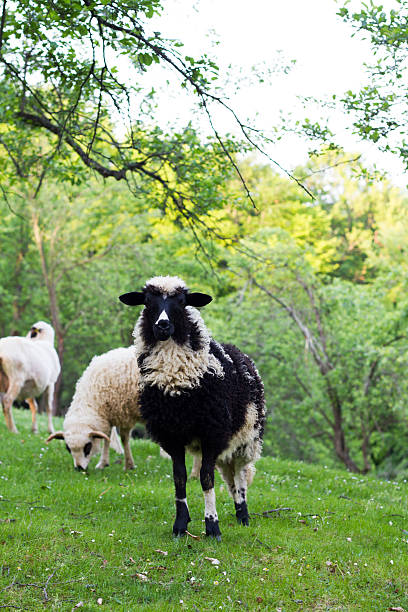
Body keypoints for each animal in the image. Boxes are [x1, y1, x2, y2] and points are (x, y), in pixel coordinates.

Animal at [118, 274, 264, 536]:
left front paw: (212, 526)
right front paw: (180, 524)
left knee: (240, 474)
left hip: (246, 437)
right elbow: (180, 477)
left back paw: (243, 513)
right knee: (230, 473)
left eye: (182, 302)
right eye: (147, 301)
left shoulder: (212, 433)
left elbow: (206, 478)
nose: (162, 325)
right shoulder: (171, 435)